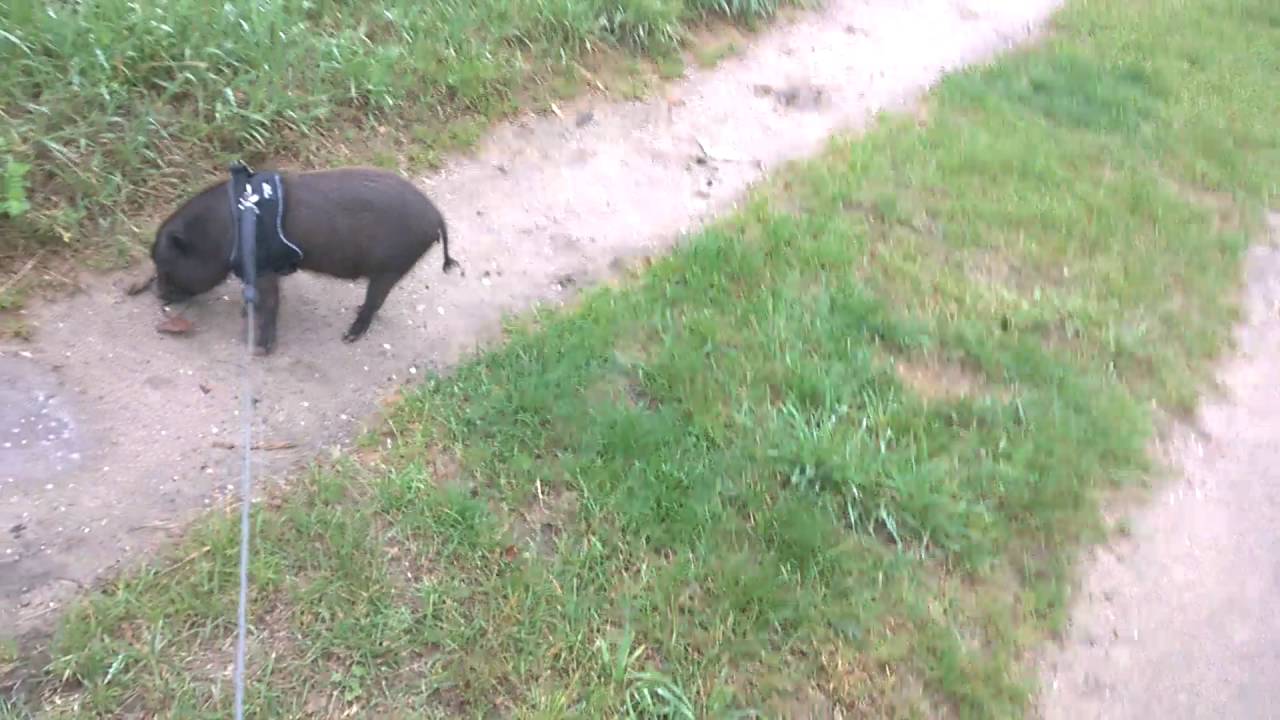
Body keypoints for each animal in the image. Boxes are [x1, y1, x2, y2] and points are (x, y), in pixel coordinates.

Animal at [149, 166, 460, 355]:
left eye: (165, 265)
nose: (158, 295)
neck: (221, 233)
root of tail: (437, 217)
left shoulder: (263, 268)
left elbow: (271, 303)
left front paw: (260, 349)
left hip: (391, 267)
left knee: (375, 302)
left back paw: (349, 336)